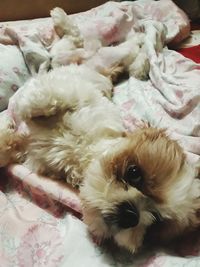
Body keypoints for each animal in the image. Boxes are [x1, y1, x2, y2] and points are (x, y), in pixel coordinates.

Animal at [0, 63, 199, 254]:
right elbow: (47, 97)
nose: (131, 215)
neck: (79, 153)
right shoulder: (78, 98)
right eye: (134, 172)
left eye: (156, 221)